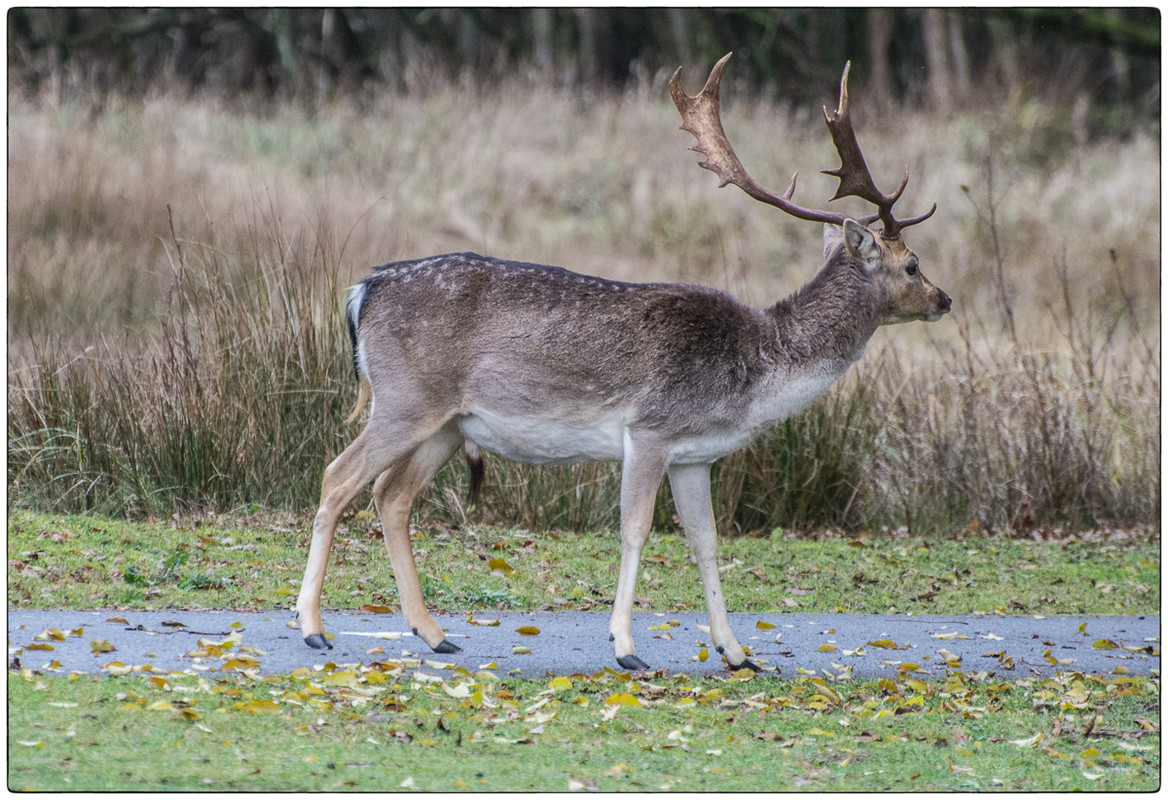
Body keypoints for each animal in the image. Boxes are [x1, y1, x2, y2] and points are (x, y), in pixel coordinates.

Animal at [299, 53, 948, 672]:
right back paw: (313, 628)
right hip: (406, 398)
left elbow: (707, 543)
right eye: (913, 264)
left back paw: (434, 635)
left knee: (391, 495)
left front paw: (738, 653)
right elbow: (635, 531)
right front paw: (626, 646)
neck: (753, 375)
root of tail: (363, 290)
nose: (943, 299)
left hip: (449, 424)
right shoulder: (651, 430)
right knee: (338, 476)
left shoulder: (695, 456)